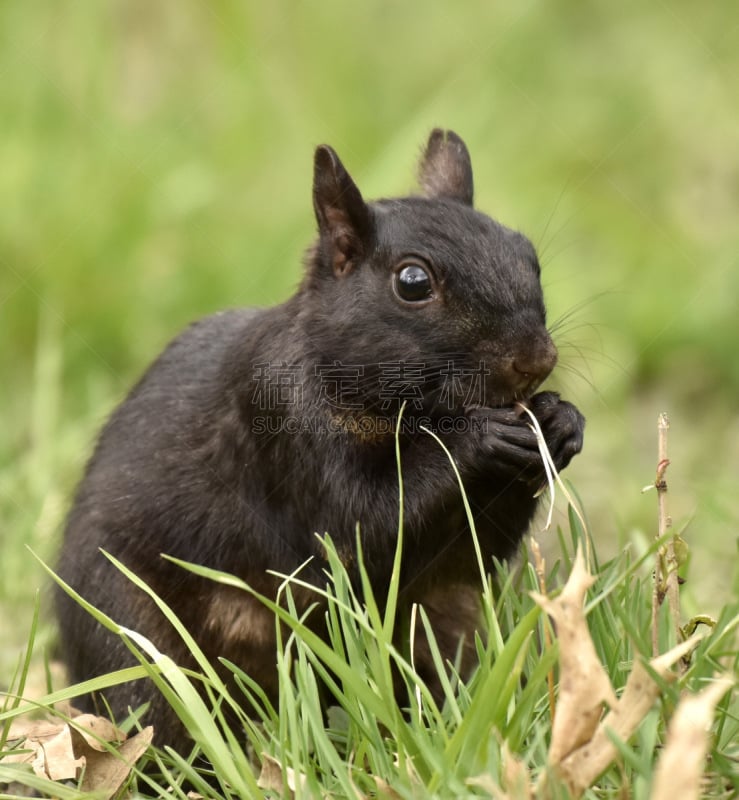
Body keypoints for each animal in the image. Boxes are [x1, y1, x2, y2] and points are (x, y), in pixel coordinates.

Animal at [56, 130, 584, 752]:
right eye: (413, 282)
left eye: (528, 256)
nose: (536, 359)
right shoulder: (280, 428)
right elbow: (357, 528)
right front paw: (477, 438)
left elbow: (473, 552)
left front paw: (560, 422)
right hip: (131, 634)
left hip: (446, 623)